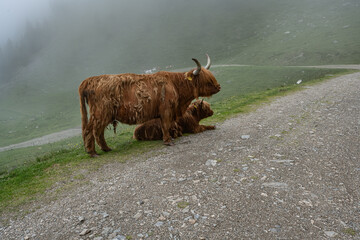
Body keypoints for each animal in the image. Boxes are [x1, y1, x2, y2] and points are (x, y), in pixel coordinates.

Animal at [79, 54, 221, 157]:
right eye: (207, 80)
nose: (218, 87)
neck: (175, 85)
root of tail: (90, 80)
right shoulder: (166, 110)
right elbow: (165, 125)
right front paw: (168, 141)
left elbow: (166, 126)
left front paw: (170, 138)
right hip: (100, 113)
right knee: (91, 130)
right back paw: (93, 152)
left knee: (98, 131)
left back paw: (106, 149)